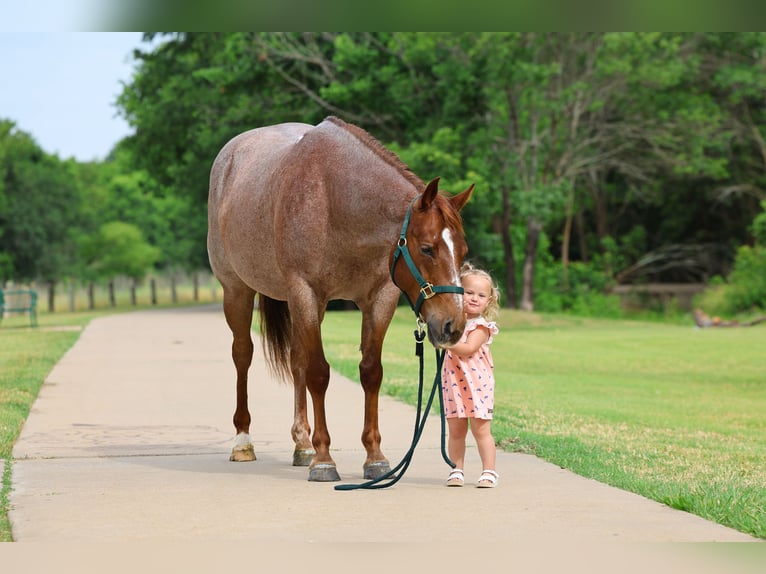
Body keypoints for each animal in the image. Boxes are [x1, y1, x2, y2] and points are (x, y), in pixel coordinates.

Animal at [207, 116, 473, 481]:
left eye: (463, 250)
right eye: (427, 248)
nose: (453, 325)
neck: (334, 199)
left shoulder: (379, 297)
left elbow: (370, 372)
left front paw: (374, 457)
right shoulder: (304, 291)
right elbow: (319, 373)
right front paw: (324, 460)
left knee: (297, 360)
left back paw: (302, 444)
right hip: (238, 291)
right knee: (243, 355)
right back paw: (244, 442)